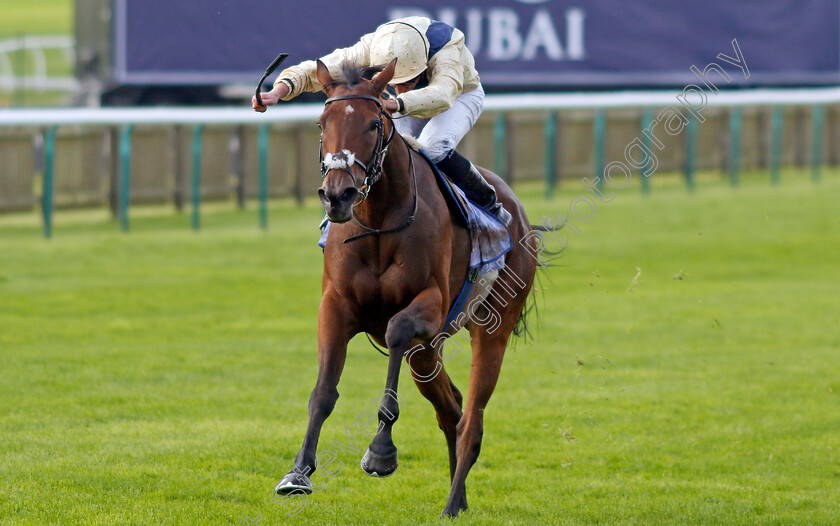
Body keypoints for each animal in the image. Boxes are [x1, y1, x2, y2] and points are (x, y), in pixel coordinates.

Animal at [276, 58, 540, 520]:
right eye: (322, 123)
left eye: (372, 124)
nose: (337, 195)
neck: (380, 221)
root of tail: (519, 213)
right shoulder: (335, 306)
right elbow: (323, 392)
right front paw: (298, 473)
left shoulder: (431, 305)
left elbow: (397, 328)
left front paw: (381, 451)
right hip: (427, 352)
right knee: (451, 409)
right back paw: (459, 499)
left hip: (491, 328)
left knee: (472, 419)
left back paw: (451, 504)